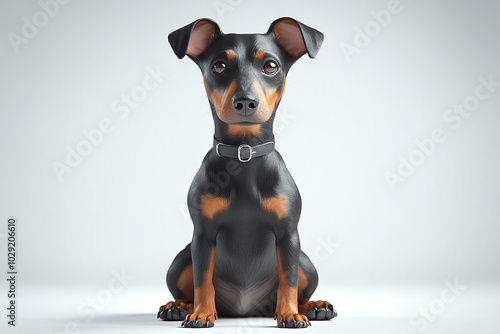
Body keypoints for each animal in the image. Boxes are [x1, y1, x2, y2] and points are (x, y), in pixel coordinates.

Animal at [156, 17, 336, 328]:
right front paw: (201, 312)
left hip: (306, 262)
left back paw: (313, 306)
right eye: (218, 66)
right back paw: (177, 306)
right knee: (189, 285)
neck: (244, 154)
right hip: (180, 260)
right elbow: (202, 279)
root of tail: (244, 309)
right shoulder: (202, 235)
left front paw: (290, 313)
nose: (245, 102)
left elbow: (288, 280)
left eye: (271, 65)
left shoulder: (288, 234)